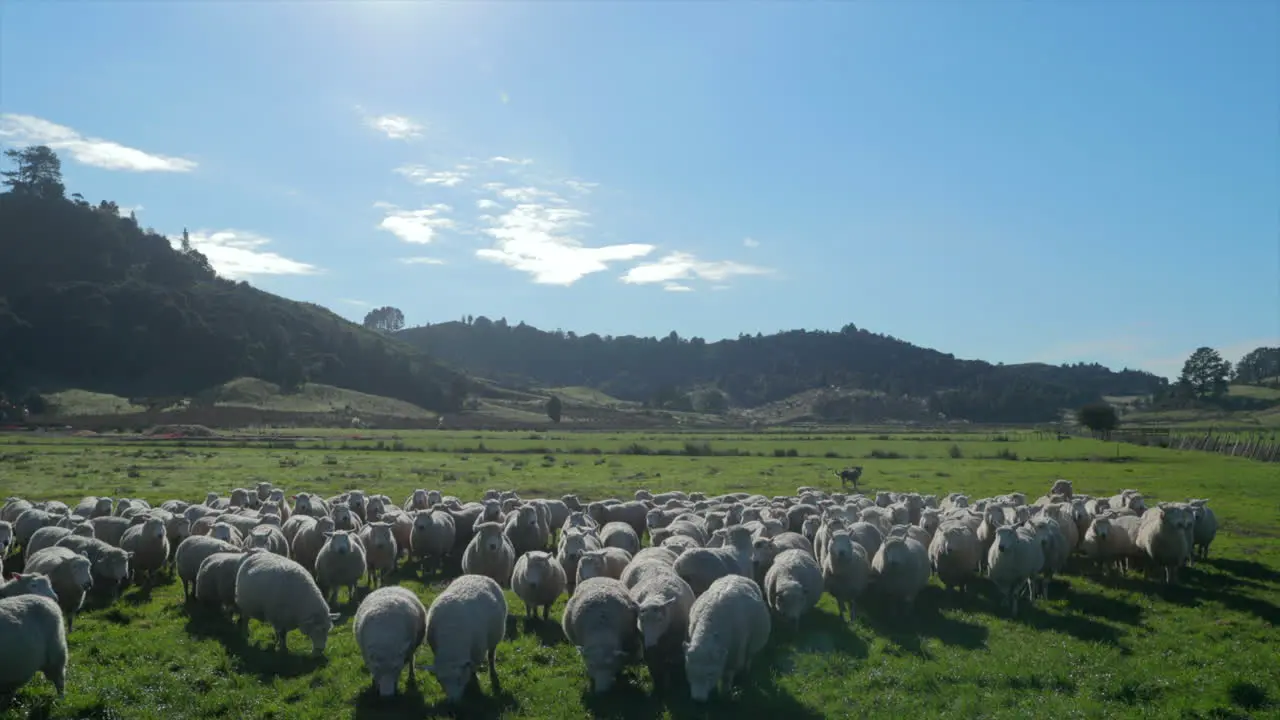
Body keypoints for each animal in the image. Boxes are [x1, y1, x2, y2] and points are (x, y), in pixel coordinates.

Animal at [417, 571, 501, 702]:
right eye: (440, 681)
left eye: (459, 678)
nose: (453, 701)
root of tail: (476, 575)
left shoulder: (477, 653)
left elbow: (472, 669)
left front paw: (474, 681)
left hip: (495, 638)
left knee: (491, 655)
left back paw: (492, 671)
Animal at [680, 571, 768, 702]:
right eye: (689, 671)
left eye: (710, 674)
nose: (698, 699)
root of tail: (736, 575)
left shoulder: (733, 656)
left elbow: (727, 677)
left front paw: (725, 694)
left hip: (752, 645)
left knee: (749, 656)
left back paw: (745, 672)